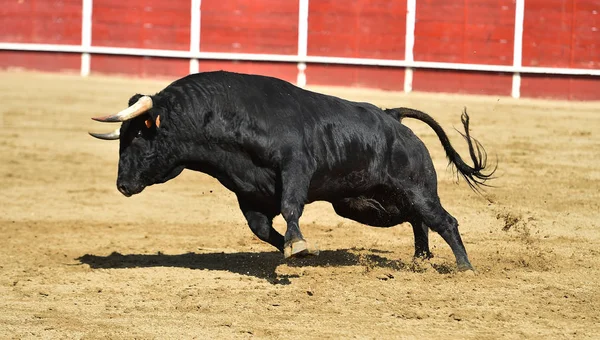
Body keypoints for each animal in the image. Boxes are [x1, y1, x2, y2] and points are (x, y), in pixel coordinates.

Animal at [88, 71, 492, 270]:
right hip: (364, 203)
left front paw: (297, 244)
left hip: (415, 187)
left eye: (138, 138)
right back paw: (421, 259)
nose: (122, 185)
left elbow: (290, 207)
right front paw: (297, 249)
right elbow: (263, 229)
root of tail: (391, 117)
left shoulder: (296, 166)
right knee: (417, 219)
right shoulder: (249, 193)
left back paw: (464, 267)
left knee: (443, 220)